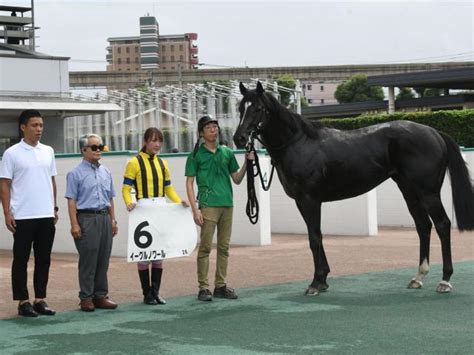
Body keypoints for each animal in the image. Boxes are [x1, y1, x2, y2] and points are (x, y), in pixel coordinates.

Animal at [235, 82, 474, 296]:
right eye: (240, 108)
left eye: (258, 108)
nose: (239, 138)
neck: (299, 142)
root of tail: (434, 133)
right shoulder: (302, 202)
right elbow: (318, 235)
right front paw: (323, 280)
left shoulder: (310, 200)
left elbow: (314, 238)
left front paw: (315, 283)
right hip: (409, 191)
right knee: (423, 226)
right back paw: (418, 277)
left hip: (428, 193)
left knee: (442, 224)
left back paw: (445, 280)